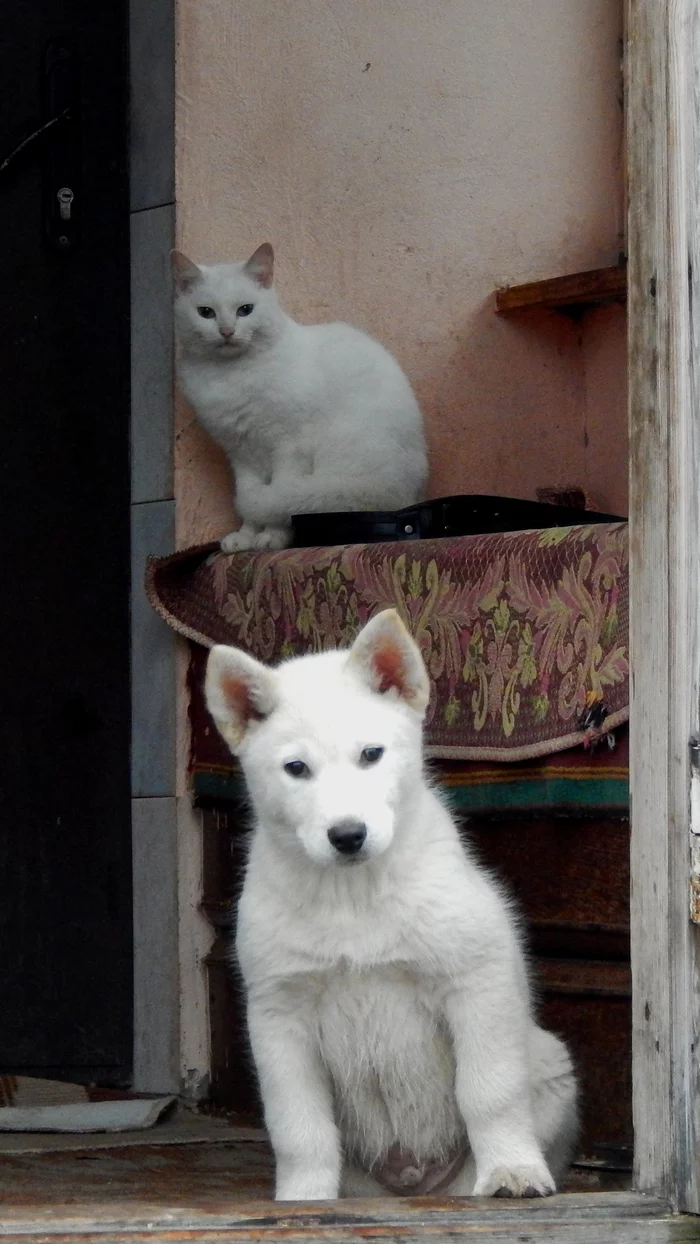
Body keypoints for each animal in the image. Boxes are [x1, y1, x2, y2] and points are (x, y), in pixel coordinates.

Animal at [172, 242, 430, 549]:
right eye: (206, 312)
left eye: (245, 310)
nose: (226, 332)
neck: (231, 376)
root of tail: (408, 493)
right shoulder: (241, 455)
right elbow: (251, 499)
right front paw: (246, 538)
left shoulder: (289, 447)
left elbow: (275, 497)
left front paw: (271, 536)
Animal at [205, 607, 576, 1199]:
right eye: (296, 769)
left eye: (371, 755)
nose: (347, 835)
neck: (354, 897)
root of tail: (413, 1183)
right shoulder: (279, 1014)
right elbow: (298, 1125)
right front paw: (303, 1199)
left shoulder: (477, 981)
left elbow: (489, 1090)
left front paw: (512, 1170)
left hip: (547, 1061)